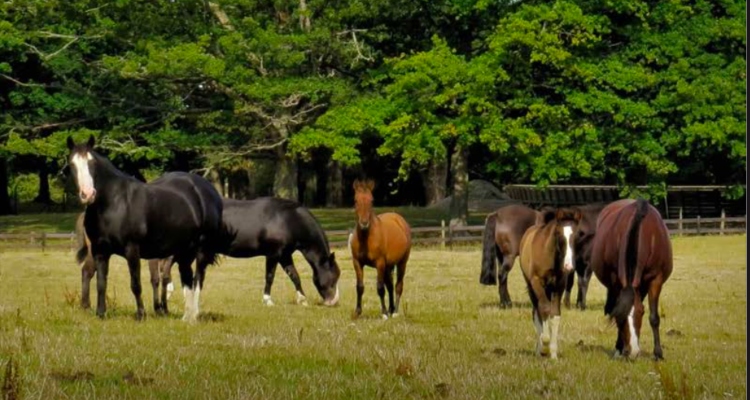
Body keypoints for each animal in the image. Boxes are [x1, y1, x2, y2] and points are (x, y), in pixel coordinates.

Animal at [67, 135, 223, 322]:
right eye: (72, 164)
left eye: (92, 163)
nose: (88, 194)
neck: (114, 203)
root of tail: (208, 191)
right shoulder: (100, 251)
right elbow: (101, 283)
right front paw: (100, 313)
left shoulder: (132, 250)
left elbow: (136, 284)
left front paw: (141, 314)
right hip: (185, 251)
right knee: (187, 278)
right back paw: (187, 316)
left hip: (200, 250)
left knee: (198, 280)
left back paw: (193, 315)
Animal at [352, 180, 414, 320]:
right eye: (356, 200)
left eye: (372, 200)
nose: (364, 224)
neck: (366, 238)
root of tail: (399, 219)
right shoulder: (357, 262)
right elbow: (359, 287)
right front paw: (357, 312)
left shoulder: (379, 263)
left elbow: (380, 288)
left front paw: (384, 313)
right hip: (388, 266)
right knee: (390, 285)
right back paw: (391, 309)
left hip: (402, 263)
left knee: (398, 286)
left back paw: (394, 311)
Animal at [520, 208, 584, 358]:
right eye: (558, 233)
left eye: (578, 234)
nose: (568, 266)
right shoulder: (537, 282)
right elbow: (544, 308)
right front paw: (545, 340)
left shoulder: (559, 286)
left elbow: (555, 314)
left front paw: (553, 353)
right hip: (531, 287)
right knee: (536, 311)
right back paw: (539, 349)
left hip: (548, 289)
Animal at [592, 198, 676, 360]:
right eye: (620, 317)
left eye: (641, 312)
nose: (632, 352)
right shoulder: (616, 281)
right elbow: (615, 309)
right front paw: (618, 349)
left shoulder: (656, 280)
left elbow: (654, 317)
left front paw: (658, 354)